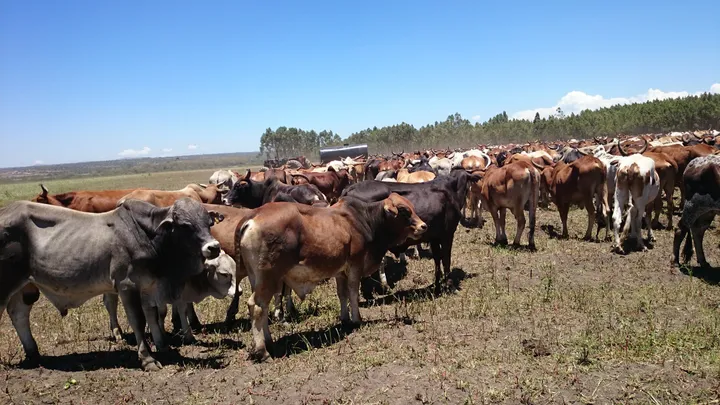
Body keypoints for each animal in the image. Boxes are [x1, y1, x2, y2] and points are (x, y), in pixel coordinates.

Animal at [0, 198, 223, 371]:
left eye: (209, 222)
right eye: (185, 225)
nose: (213, 247)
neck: (147, 235)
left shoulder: (148, 287)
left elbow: (152, 316)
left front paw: (163, 346)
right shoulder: (127, 286)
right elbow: (138, 321)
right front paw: (148, 359)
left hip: (25, 287)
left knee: (18, 314)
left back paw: (33, 354)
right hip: (7, 284)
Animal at [236, 193, 426, 361]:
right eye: (404, 211)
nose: (423, 226)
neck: (364, 220)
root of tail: (253, 216)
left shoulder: (340, 271)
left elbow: (342, 294)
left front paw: (345, 319)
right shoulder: (355, 264)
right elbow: (353, 293)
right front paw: (357, 320)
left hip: (256, 278)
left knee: (263, 307)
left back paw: (268, 341)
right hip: (269, 276)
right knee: (257, 306)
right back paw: (262, 351)